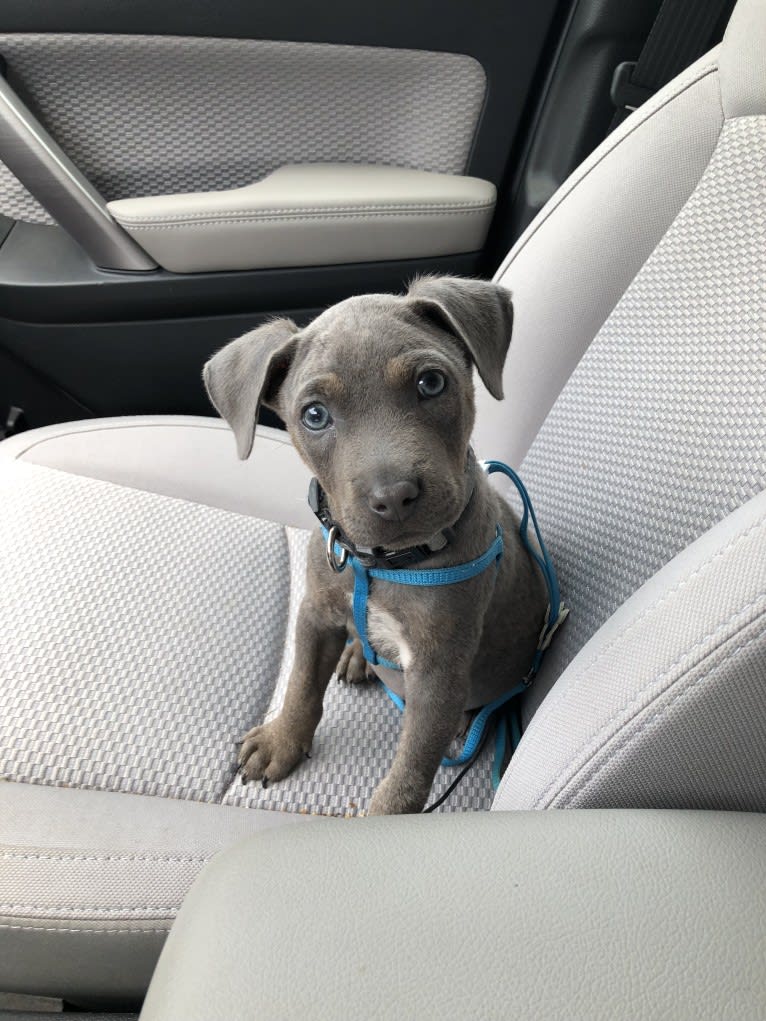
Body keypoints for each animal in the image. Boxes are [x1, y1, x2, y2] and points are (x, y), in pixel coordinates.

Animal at [204, 273, 547, 812]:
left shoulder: (437, 671)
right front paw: (282, 739)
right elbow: (302, 683)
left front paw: (384, 816)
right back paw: (356, 655)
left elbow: (411, 767)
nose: (394, 497)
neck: (383, 564)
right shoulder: (316, 612)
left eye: (431, 383)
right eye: (315, 415)